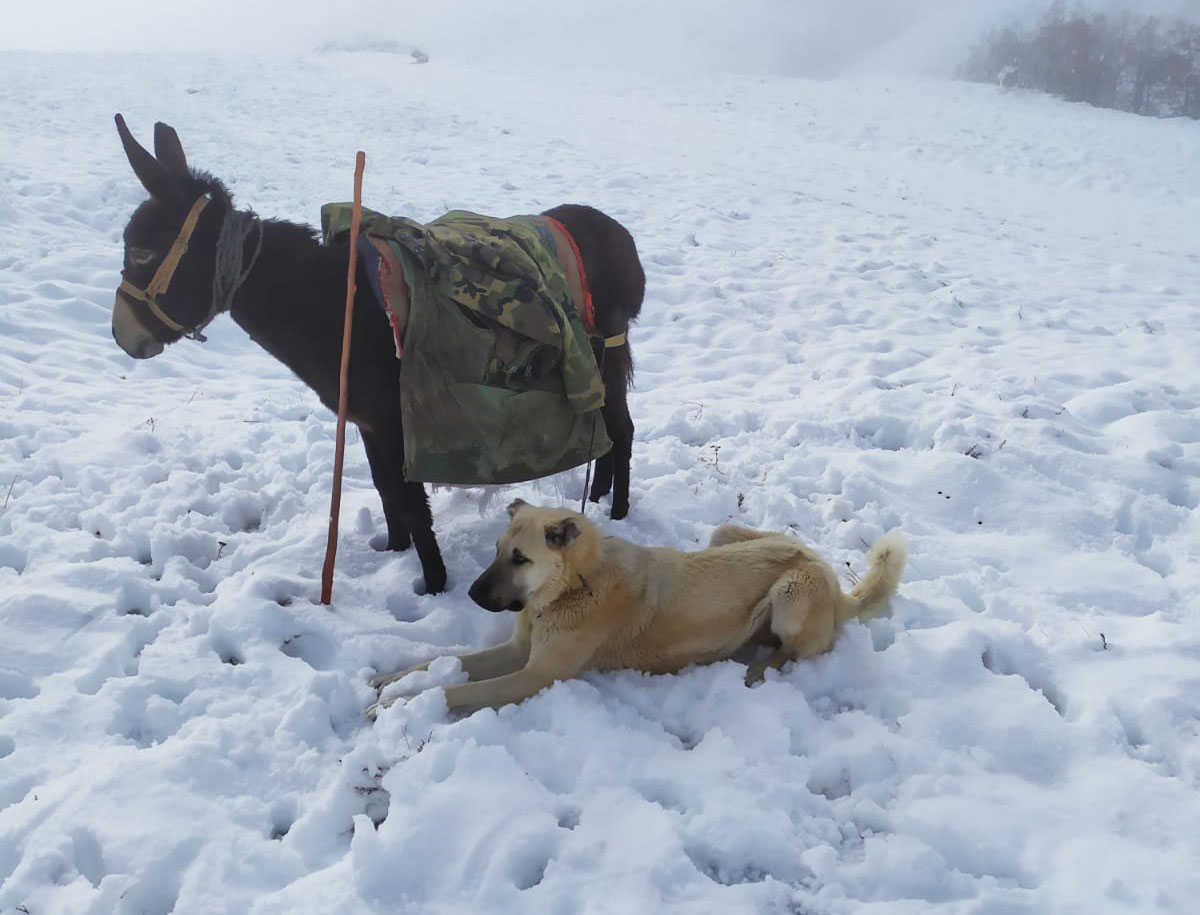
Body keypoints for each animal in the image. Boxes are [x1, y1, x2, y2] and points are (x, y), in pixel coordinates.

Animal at [369, 499, 902, 710]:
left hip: (790, 595)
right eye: (497, 550)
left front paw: (397, 706)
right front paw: (387, 681)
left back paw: (758, 669)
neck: (575, 584)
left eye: (520, 558)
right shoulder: (519, 651)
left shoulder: (534, 676)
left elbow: (455, 690)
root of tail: (830, 577)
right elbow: (441, 663)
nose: (472, 595)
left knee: (799, 650)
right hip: (725, 533)